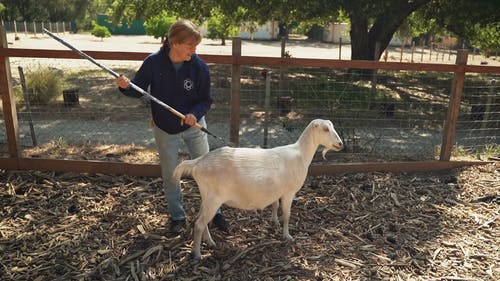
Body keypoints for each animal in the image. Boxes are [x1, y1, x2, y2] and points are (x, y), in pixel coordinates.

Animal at [173, 118, 344, 260]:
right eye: (325, 129)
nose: (341, 144)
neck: (300, 153)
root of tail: (197, 162)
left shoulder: (278, 190)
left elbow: (275, 205)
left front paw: (275, 222)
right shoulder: (289, 191)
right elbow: (287, 214)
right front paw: (287, 236)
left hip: (207, 196)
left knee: (200, 219)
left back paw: (210, 242)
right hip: (213, 199)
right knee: (200, 224)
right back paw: (197, 254)